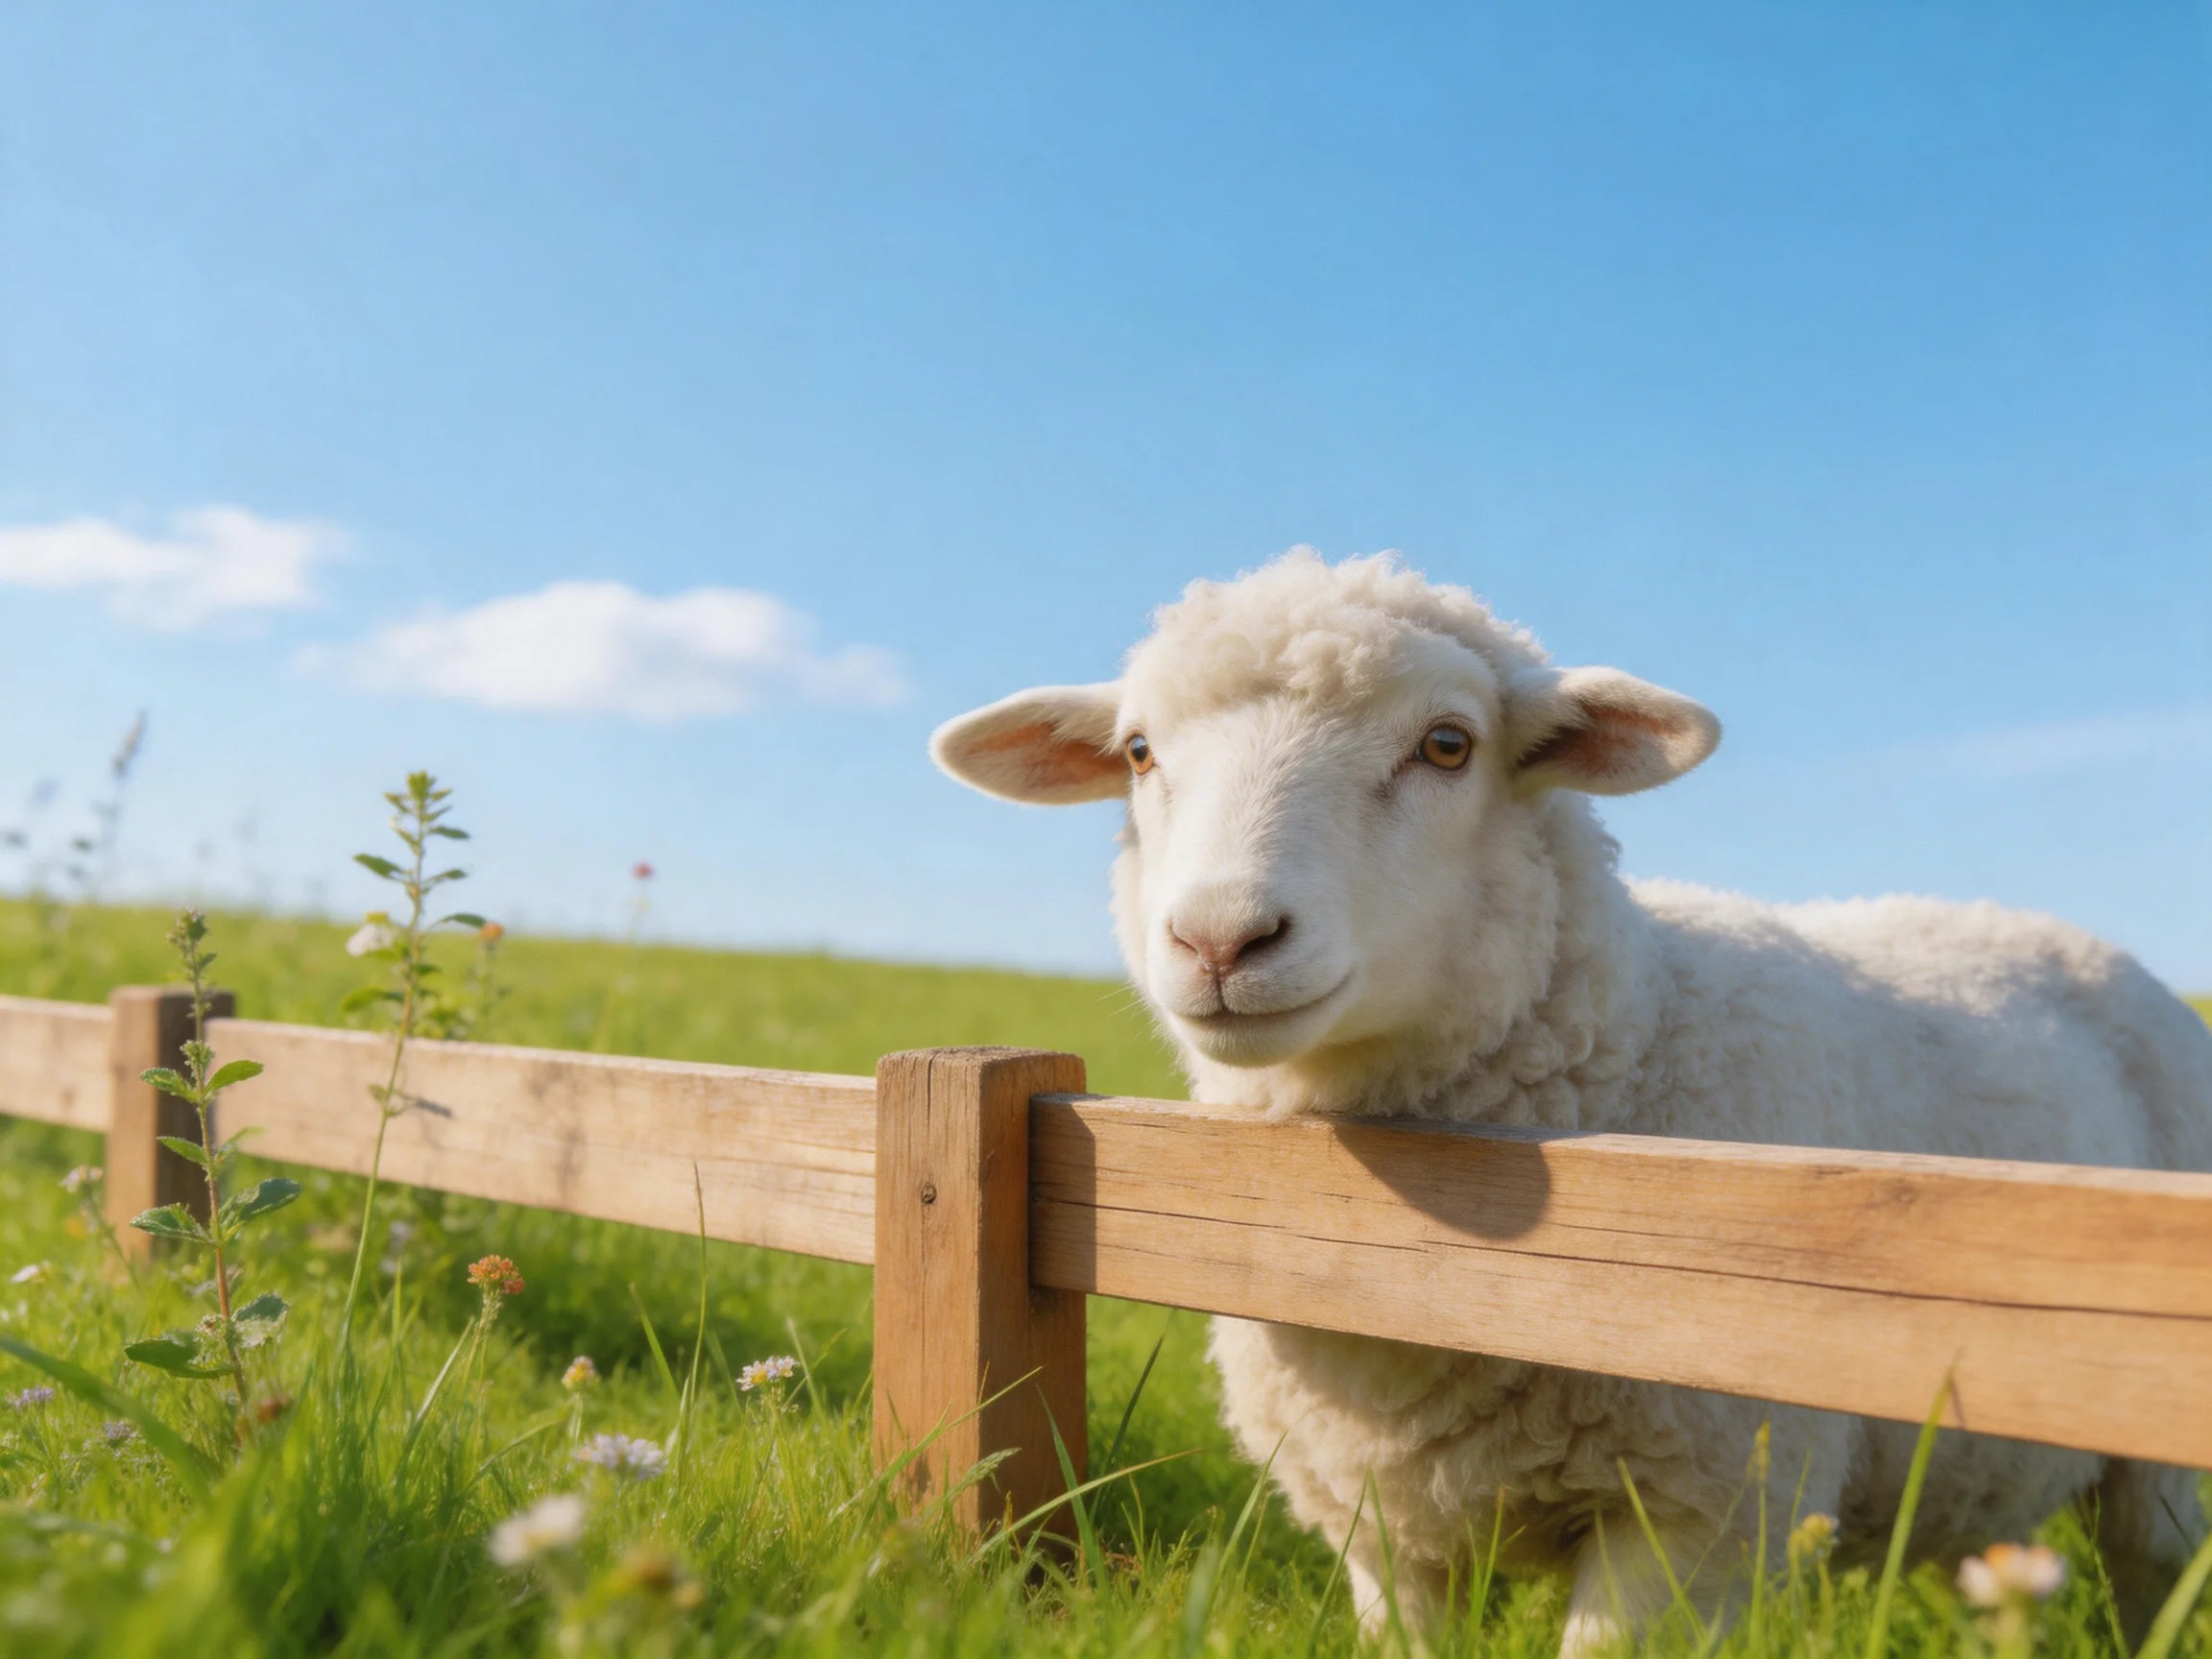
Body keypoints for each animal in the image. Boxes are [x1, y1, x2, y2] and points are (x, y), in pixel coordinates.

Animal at [930, 549, 2212, 1653]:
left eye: (1448, 744)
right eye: (1140, 752)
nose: (1218, 940)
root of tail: (2030, 920)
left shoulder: (1699, 1513)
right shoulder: (1380, 1526)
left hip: (2158, 1459)